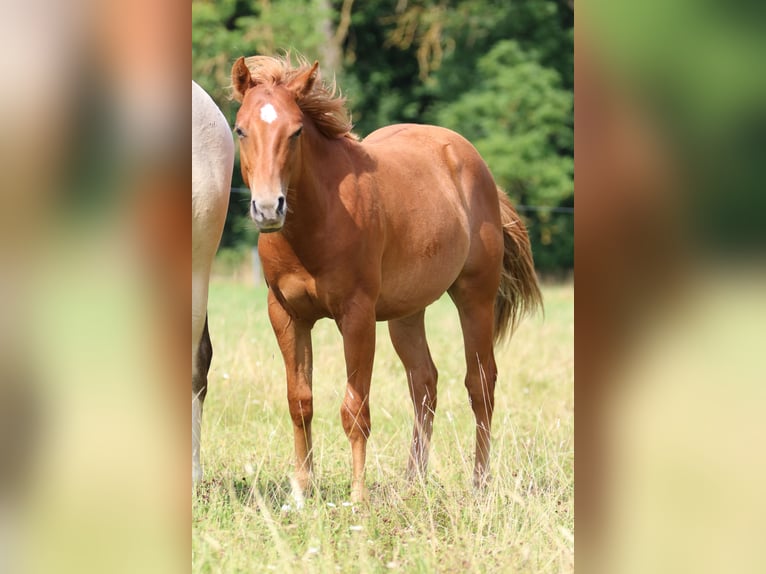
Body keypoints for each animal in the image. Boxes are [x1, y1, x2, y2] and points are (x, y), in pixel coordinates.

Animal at [231, 54, 542, 503]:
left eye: (296, 131)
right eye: (240, 129)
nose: (269, 207)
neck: (319, 221)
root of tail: (472, 161)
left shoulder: (357, 317)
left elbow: (355, 408)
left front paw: (358, 497)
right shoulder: (286, 315)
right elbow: (300, 401)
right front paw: (301, 493)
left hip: (475, 299)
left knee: (480, 383)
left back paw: (480, 483)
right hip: (405, 313)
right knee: (424, 382)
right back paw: (414, 480)